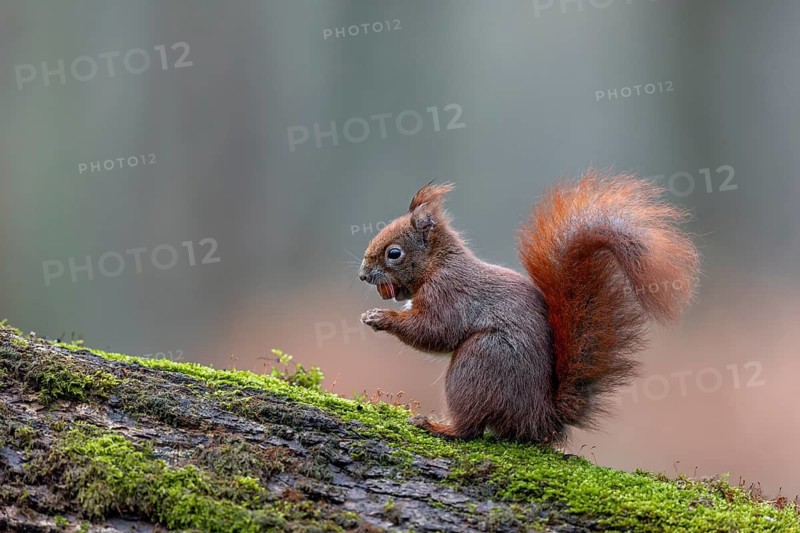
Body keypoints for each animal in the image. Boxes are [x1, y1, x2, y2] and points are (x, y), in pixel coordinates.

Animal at [358, 170, 700, 444]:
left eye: (394, 253)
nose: (362, 275)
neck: (437, 265)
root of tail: (540, 419)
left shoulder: (449, 293)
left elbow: (436, 332)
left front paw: (381, 318)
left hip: (479, 362)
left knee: (471, 429)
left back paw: (437, 426)